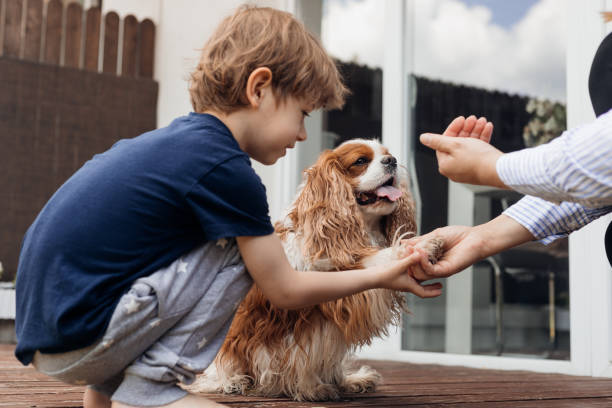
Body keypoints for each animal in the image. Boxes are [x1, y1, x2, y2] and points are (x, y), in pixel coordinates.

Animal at [186, 139, 440, 400]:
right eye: (360, 161)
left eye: (388, 155)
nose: (392, 161)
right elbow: (375, 261)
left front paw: (340, 381)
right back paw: (233, 381)